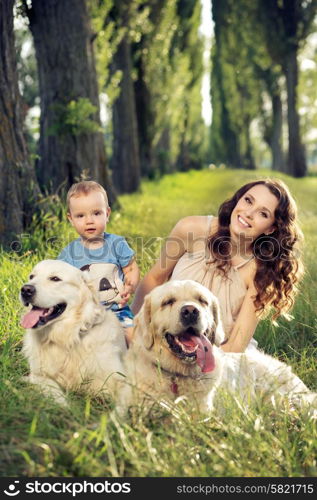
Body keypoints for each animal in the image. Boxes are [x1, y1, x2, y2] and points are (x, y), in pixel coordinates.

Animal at [19, 260, 126, 404]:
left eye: (55, 279)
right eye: (31, 276)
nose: (26, 290)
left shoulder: (120, 378)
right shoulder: (39, 376)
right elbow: (56, 395)